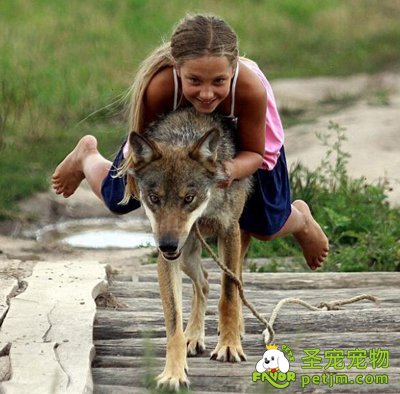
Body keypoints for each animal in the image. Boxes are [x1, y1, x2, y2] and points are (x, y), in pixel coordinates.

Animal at [125, 107, 250, 390]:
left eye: (188, 198)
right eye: (154, 198)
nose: (167, 244)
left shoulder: (229, 230)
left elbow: (228, 295)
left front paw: (228, 346)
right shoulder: (168, 256)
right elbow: (173, 323)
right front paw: (173, 373)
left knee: (235, 281)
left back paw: (236, 330)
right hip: (185, 255)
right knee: (203, 281)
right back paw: (194, 336)